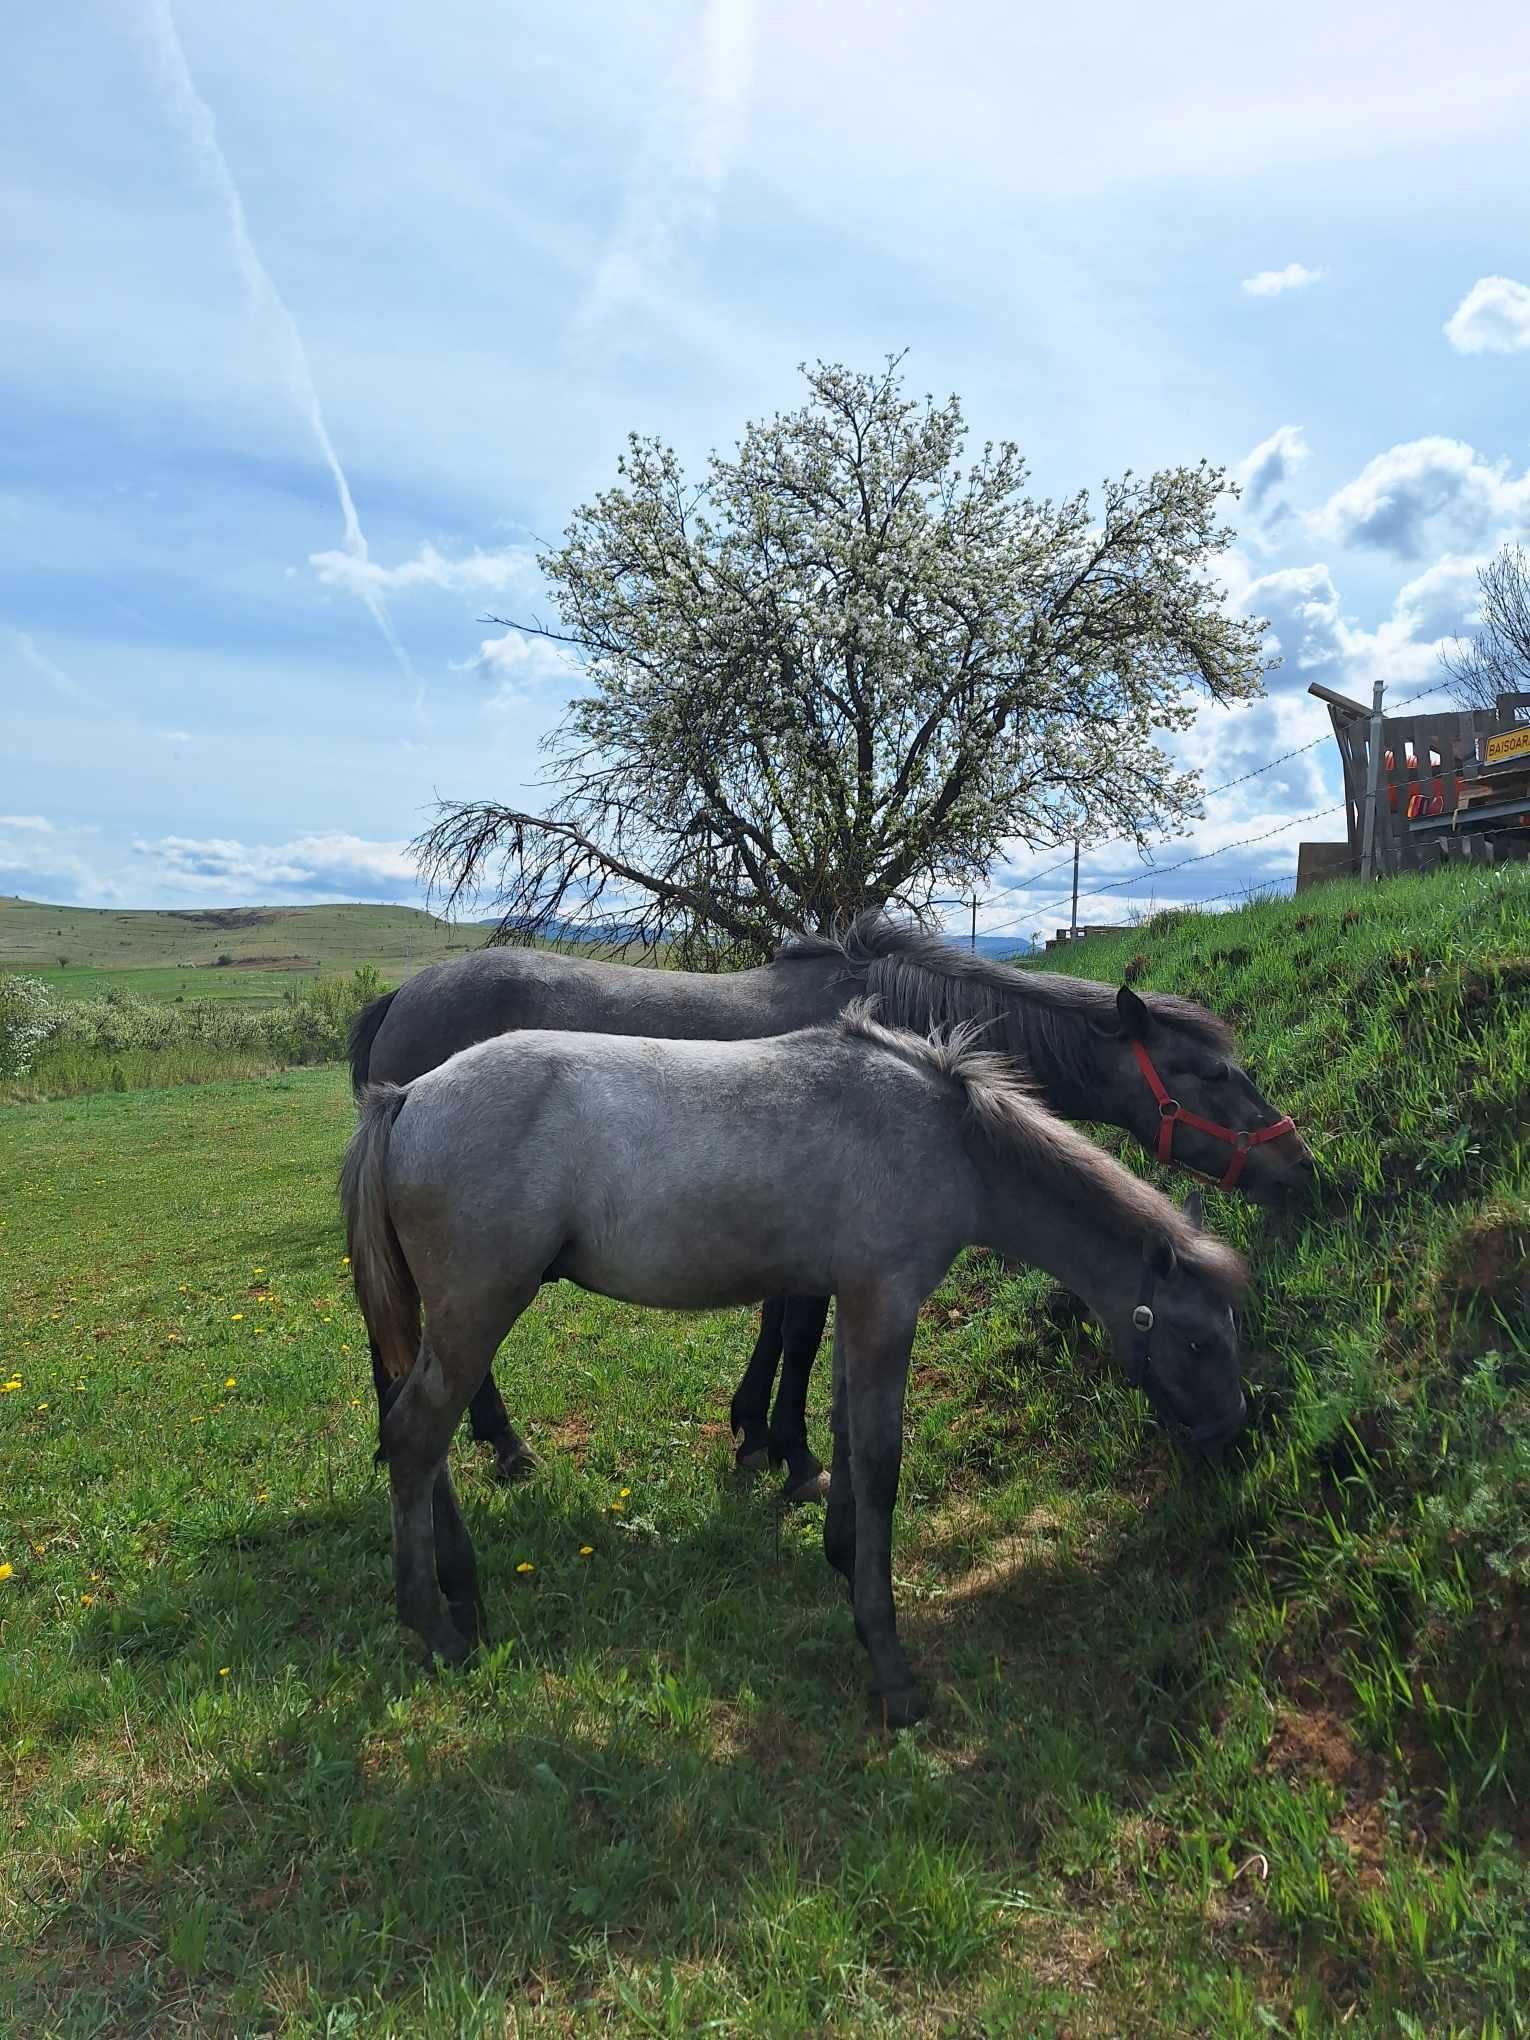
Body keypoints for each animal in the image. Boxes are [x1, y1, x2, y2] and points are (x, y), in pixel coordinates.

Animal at [344, 1003, 1248, 1721]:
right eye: (1200, 1340)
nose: (1233, 1439)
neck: (940, 1136)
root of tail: (408, 1097)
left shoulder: (854, 1303)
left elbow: (845, 1434)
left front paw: (842, 1556)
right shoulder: (886, 1304)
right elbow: (879, 1461)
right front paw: (889, 1662)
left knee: (417, 1436)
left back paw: (462, 1592)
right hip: (478, 1312)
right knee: (417, 1438)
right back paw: (436, 1626)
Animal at [352, 918, 1313, 1509]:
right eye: (1212, 1073)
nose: (1302, 1169)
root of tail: (400, 1000)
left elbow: (777, 1330)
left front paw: (750, 1434)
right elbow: (800, 1340)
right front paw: (793, 1454)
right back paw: (500, 1446)